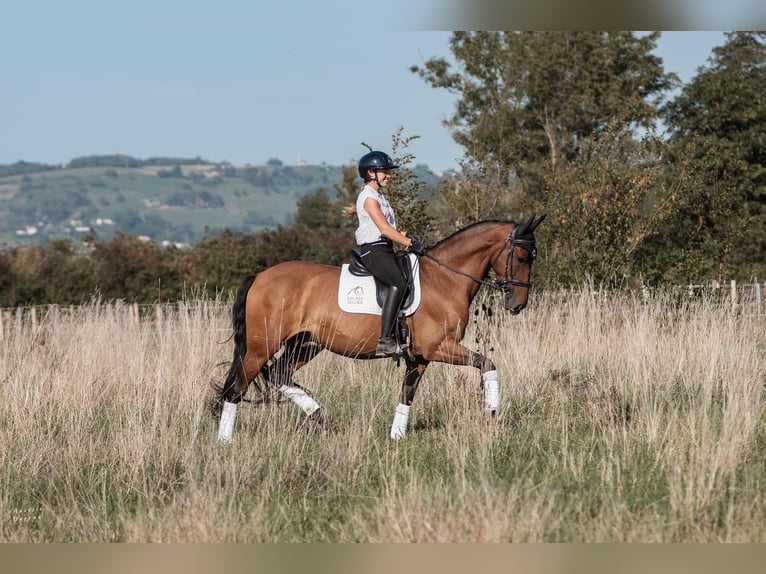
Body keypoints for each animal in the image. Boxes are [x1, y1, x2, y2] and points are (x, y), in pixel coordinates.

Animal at [213, 215, 544, 440]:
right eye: (522, 257)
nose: (517, 304)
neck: (445, 278)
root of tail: (260, 276)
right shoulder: (439, 348)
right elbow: (488, 363)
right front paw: (492, 408)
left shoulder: (419, 357)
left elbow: (407, 394)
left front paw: (397, 436)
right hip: (262, 345)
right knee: (239, 386)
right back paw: (225, 439)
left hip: (306, 344)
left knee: (278, 374)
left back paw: (316, 414)